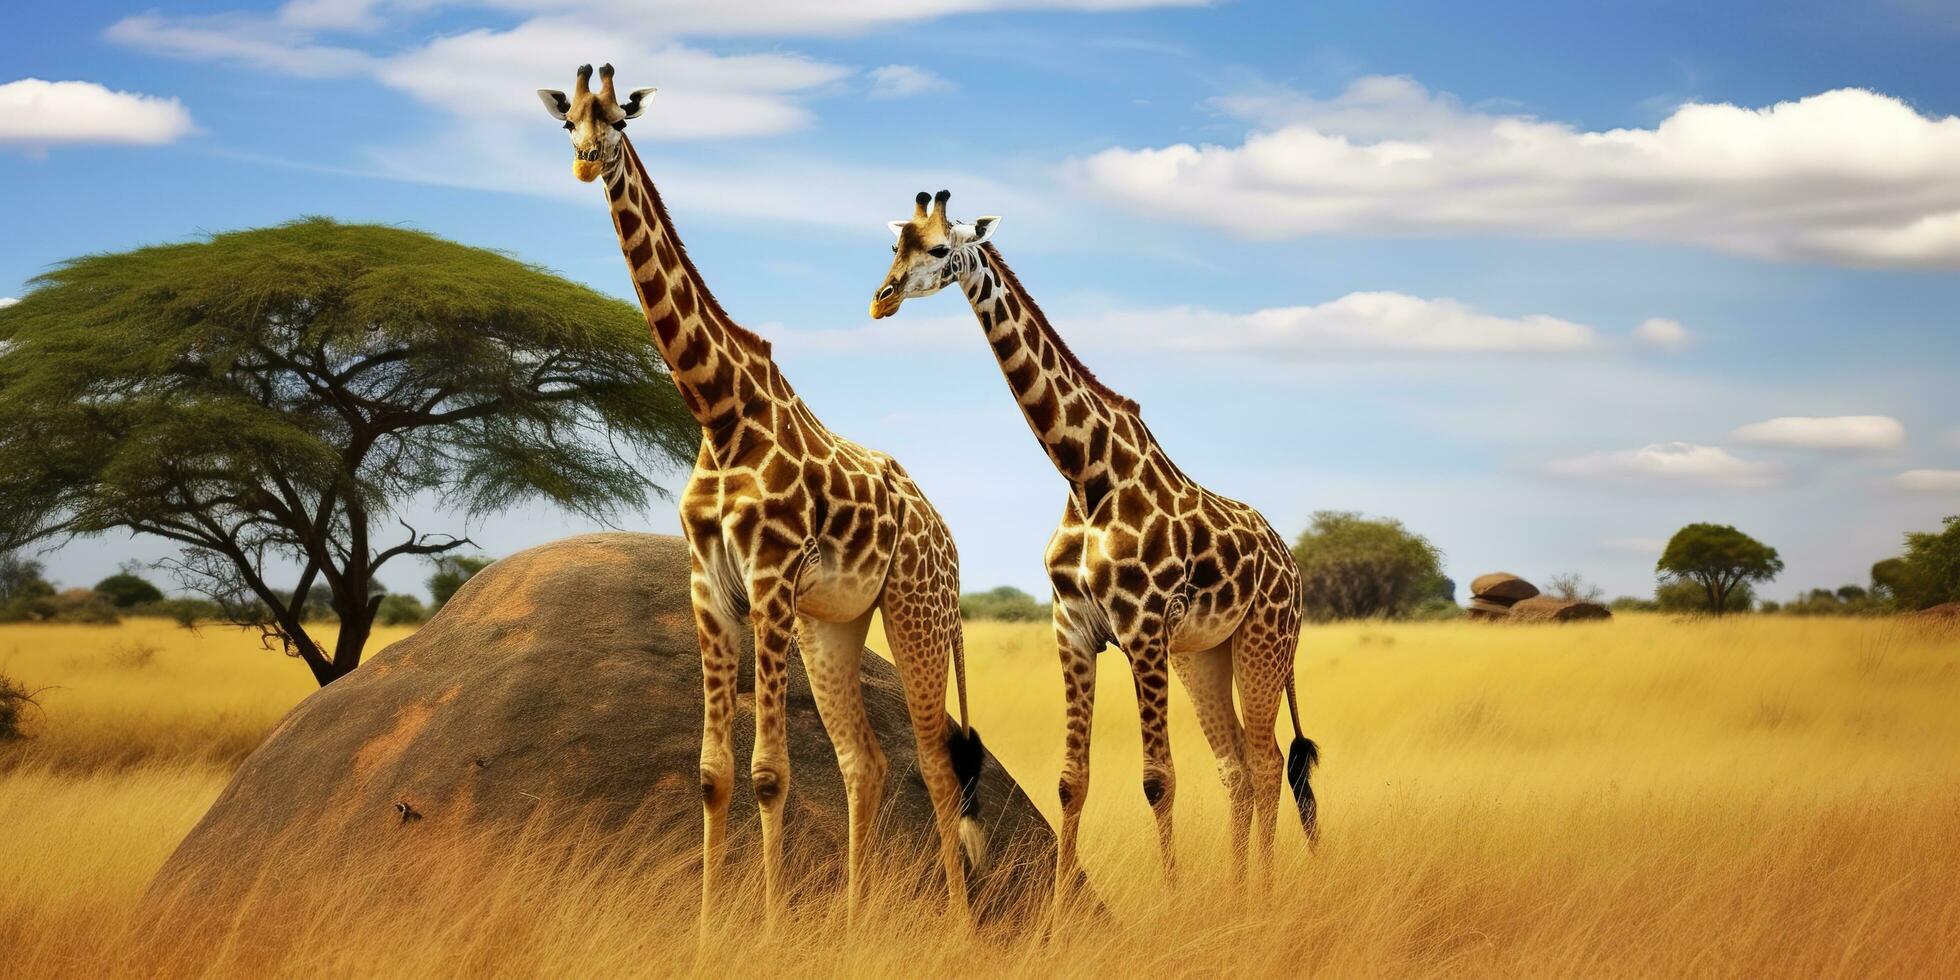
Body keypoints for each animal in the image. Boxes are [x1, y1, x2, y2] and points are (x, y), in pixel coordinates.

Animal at [537, 67, 987, 925]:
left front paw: (771, 931)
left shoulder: (772, 578)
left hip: (916, 613)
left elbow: (770, 774)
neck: (719, 411)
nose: (582, 162)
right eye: (566, 120)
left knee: (936, 768)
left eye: (618, 120)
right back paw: (851, 926)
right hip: (831, 625)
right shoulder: (710, 584)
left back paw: (958, 930)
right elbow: (713, 774)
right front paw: (710, 932)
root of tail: (948, 537)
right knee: (866, 762)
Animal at [870, 189, 1317, 901]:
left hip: (1264, 641)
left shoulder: (1142, 628)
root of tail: (1293, 564)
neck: (1084, 473)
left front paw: (1172, 907)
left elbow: (1158, 780)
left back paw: (1261, 897)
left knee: (1269, 760)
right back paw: (1234, 894)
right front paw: (1059, 917)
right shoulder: (1073, 627)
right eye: (895, 244)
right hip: (1204, 654)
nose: (881, 299)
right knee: (1238, 766)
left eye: (939, 248)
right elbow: (1069, 783)